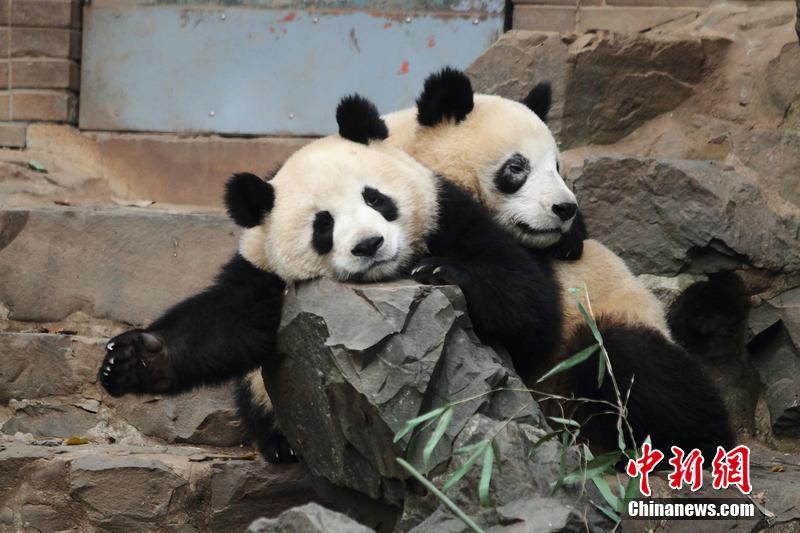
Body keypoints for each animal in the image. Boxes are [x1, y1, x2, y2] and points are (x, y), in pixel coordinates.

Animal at [98, 94, 576, 462]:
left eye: (375, 198)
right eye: (323, 225)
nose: (369, 244)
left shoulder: (449, 211)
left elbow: (529, 301)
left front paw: (441, 270)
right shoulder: (263, 271)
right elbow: (225, 326)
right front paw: (135, 358)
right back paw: (282, 444)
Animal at [378, 67, 736, 458]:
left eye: (557, 167)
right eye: (517, 167)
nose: (566, 209)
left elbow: (531, 306)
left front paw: (441, 270)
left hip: (613, 325)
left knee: (631, 364)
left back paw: (692, 443)